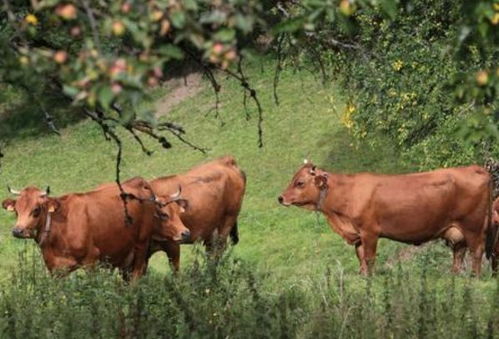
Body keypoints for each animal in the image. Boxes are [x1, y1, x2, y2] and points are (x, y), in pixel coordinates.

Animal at [1, 178, 189, 282]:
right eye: (17, 209)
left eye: (36, 210)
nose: (17, 230)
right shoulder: (56, 271)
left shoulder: (91, 261)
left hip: (141, 246)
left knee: (137, 276)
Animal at [280, 162, 494, 276]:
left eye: (300, 183)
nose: (280, 198)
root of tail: (474, 168)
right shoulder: (358, 235)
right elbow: (360, 257)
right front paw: (362, 276)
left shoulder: (369, 231)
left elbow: (369, 257)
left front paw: (370, 277)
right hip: (457, 230)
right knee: (459, 252)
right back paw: (454, 275)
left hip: (473, 226)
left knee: (476, 251)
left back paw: (474, 276)